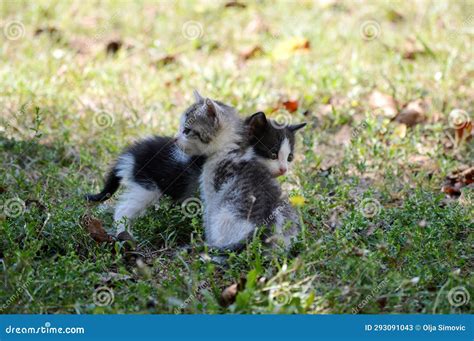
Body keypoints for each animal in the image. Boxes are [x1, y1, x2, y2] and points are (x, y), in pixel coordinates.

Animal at [85, 91, 306, 238]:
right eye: (272, 153)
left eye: (289, 157)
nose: (284, 169)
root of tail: (130, 154)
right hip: (147, 187)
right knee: (123, 209)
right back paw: (125, 235)